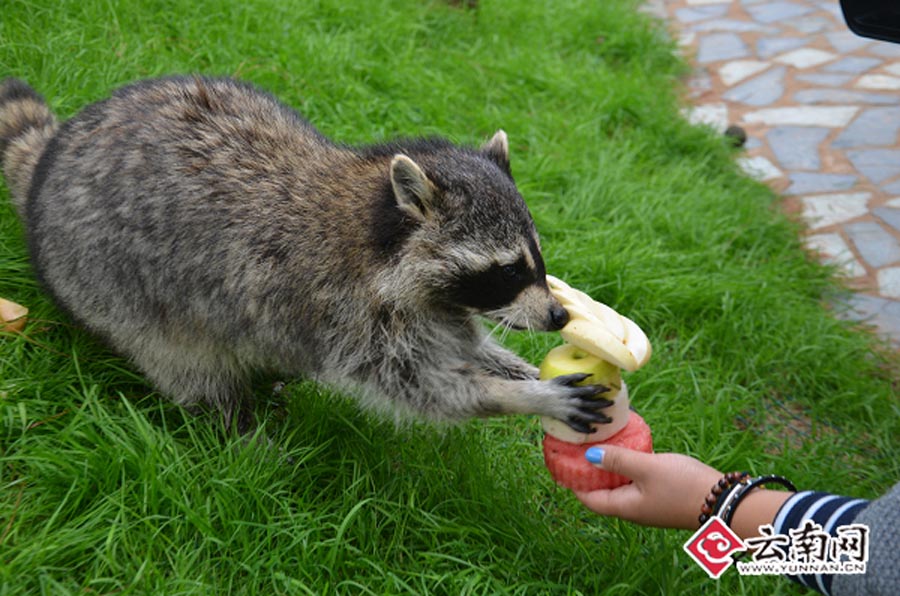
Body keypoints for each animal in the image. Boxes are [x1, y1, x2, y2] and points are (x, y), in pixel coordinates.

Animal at [0, 78, 612, 434]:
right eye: (506, 269)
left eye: (536, 259)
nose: (558, 315)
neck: (374, 227)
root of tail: (52, 163)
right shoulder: (339, 310)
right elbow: (424, 389)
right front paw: (523, 396)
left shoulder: (433, 308)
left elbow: (463, 343)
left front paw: (510, 366)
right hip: (108, 289)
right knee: (188, 364)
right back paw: (238, 427)